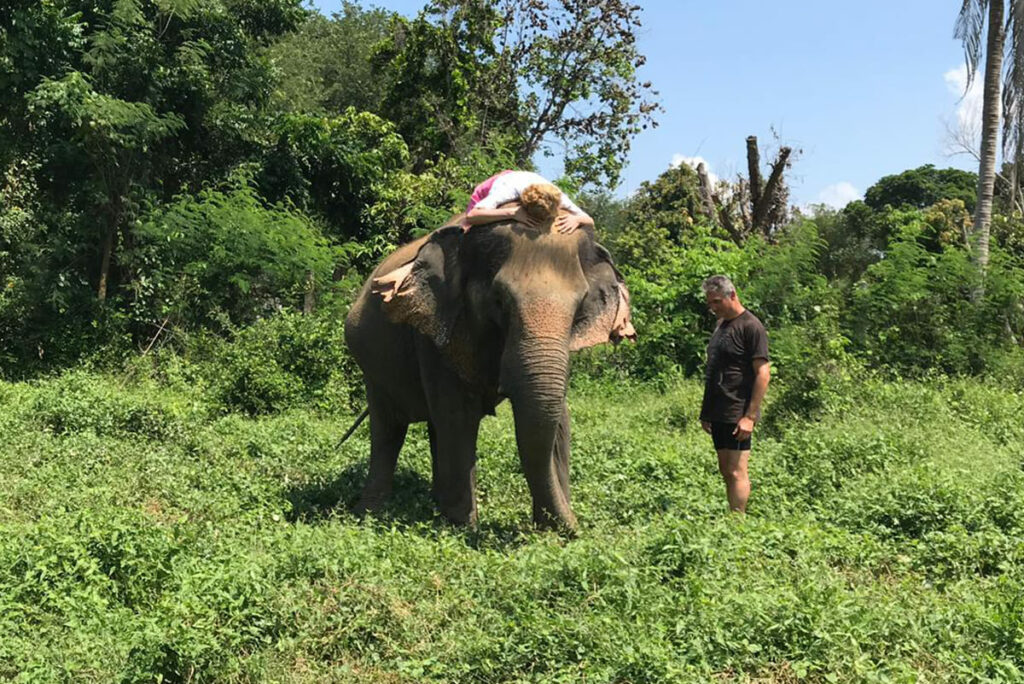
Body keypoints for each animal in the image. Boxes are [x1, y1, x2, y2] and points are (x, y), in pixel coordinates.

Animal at [344, 206, 635, 531]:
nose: (576, 528)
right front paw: (463, 527)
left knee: (431, 425)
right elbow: (458, 416)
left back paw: (434, 503)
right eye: (499, 300)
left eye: (580, 304)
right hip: (371, 367)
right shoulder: (434, 333)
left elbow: (558, 417)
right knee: (388, 430)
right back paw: (369, 513)